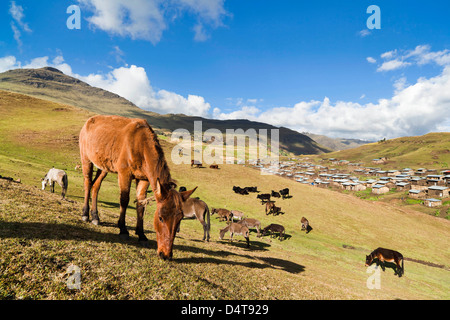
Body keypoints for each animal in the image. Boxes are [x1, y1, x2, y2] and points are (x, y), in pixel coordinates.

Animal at [78, 115, 197, 260]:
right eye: (160, 218)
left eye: (179, 219)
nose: (166, 254)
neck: (140, 145)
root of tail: (88, 121)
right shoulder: (124, 173)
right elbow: (124, 200)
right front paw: (123, 229)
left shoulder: (144, 178)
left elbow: (141, 204)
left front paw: (141, 234)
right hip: (86, 159)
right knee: (87, 183)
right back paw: (85, 214)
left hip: (103, 166)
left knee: (95, 186)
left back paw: (95, 217)